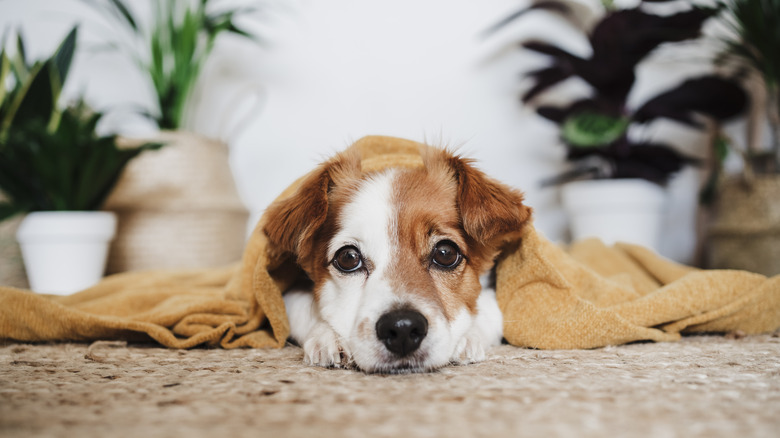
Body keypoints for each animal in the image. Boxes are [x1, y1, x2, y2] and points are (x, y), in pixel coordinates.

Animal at [264, 145, 532, 372]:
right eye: (348, 258)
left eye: (445, 254)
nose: (402, 328)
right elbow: (304, 309)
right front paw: (327, 336)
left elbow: (488, 312)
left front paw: (467, 336)